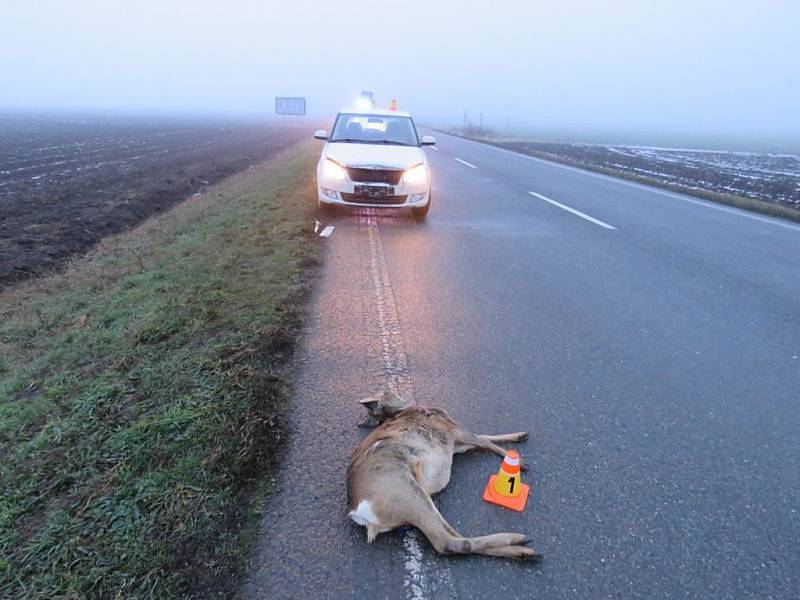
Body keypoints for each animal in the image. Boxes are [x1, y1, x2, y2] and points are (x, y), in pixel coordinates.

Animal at [346, 392, 544, 560]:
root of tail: (360, 514)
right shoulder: (454, 432)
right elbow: (483, 440)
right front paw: (520, 462)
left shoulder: (457, 443)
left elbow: (485, 437)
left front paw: (519, 436)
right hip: (407, 491)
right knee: (446, 542)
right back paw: (518, 540)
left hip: (420, 496)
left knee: (451, 533)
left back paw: (522, 550)